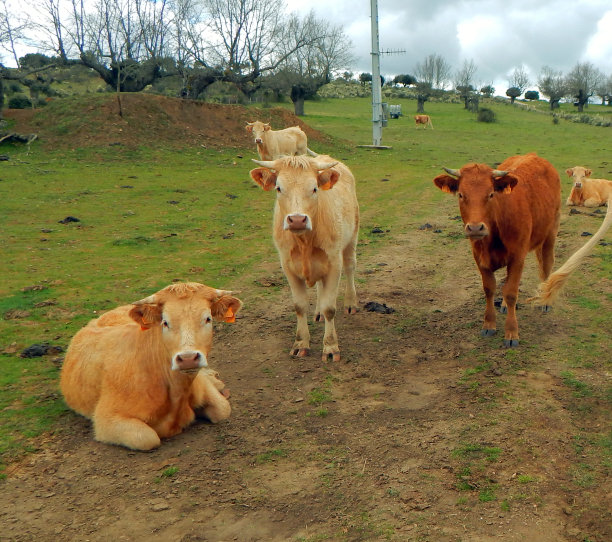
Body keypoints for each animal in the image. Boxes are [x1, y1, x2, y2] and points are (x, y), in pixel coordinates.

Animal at [59, 282, 241, 452]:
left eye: (208, 319)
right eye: (165, 322)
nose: (188, 358)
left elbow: (223, 409)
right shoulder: (106, 419)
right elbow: (147, 438)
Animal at [249, 155, 358, 364]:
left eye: (314, 188)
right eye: (279, 188)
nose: (297, 220)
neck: (304, 242)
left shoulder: (334, 264)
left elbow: (330, 307)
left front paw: (330, 347)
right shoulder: (288, 267)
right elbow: (299, 307)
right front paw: (300, 344)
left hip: (351, 239)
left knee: (350, 269)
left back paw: (351, 304)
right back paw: (318, 313)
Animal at [430, 153, 560, 348]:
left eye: (491, 194)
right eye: (461, 194)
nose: (475, 228)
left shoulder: (517, 257)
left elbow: (511, 292)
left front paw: (512, 332)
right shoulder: (479, 258)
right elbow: (490, 289)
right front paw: (489, 324)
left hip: (550, 232)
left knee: (547, 264)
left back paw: (545, 300)